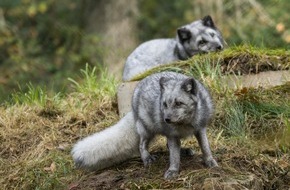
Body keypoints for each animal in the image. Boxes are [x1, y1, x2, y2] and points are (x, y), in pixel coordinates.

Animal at [72, 71, 218, 180]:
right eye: (165, 104)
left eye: (178, 103)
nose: (166, 119)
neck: (185, 124)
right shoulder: (172, 135)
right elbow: (174, 157)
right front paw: (173, 170)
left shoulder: (200, 129)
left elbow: (205, 148)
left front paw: (210, 162)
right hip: (147, 130)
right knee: (141, 145)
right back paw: (147, 159)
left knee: (167, 146)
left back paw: (185, 151)